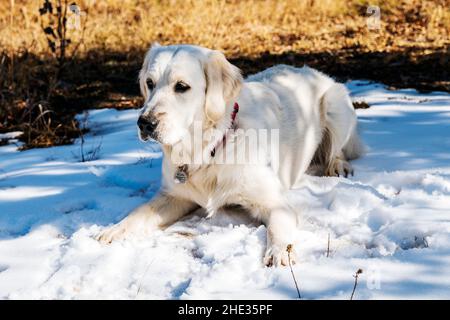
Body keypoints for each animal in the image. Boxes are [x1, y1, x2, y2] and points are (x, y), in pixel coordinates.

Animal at [96, 43, 364, 266]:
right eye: (150, 83)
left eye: (181, 87)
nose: (144, 123)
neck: (208, 150)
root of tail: (310, 70)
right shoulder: (174, 196)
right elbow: (140, 212)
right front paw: (115, 230)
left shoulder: (275, 203)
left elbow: (277, 228)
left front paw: (280, 252)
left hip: (335, 104)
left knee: (337, 149)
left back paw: (338, 165)